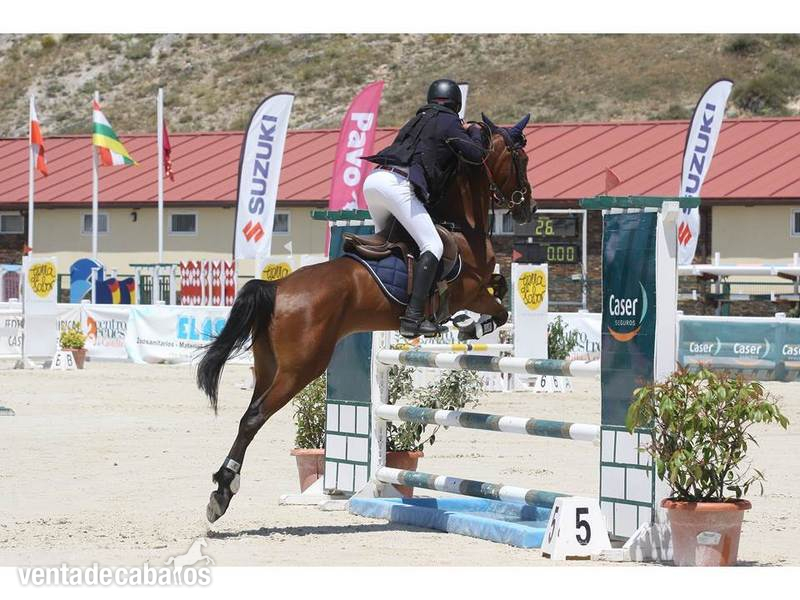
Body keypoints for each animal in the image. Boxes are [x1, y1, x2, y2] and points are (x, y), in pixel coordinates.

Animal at [197, 113, 535, 523]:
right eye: (522, 158)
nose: (528, 207)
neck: (462, 225)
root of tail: (276, 288)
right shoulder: (469, 290)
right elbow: (499, 307)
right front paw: (471, 326)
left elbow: (502, 287)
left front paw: (468, 325)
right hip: (300, 368)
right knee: (254, 416)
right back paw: (223, 490)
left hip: (268, 365)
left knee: (248, 413)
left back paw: (221, 489)